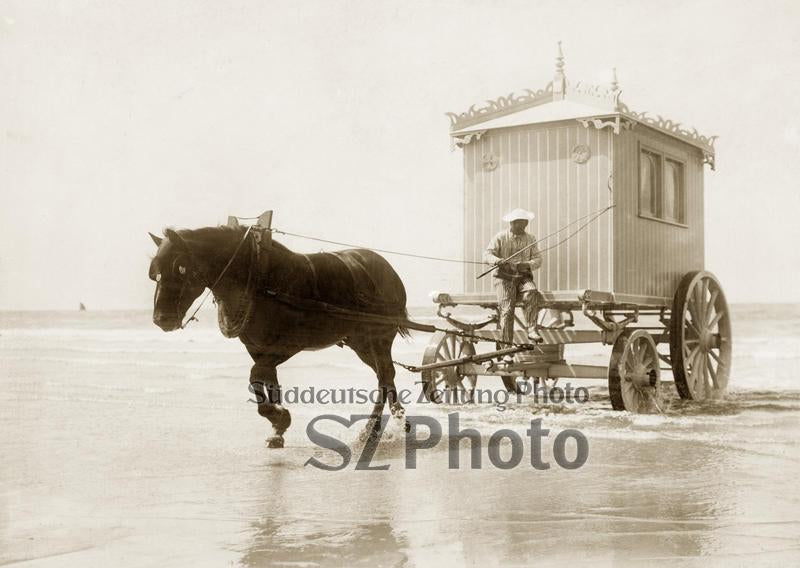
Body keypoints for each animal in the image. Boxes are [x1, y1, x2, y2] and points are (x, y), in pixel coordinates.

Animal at [148, 224, 412, 446]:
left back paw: (373, 429)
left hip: (379, 337)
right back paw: (398, 421)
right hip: (360, 342)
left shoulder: (287, 345)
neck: (257, 277)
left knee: (384, 376)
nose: (162, 319)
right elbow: (267, 381)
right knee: (384, 375)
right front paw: (277, 427)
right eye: (155, 274)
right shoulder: (257, 348)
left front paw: (278, 417)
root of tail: (388, 269)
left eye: (181, 267)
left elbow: (256, 375)